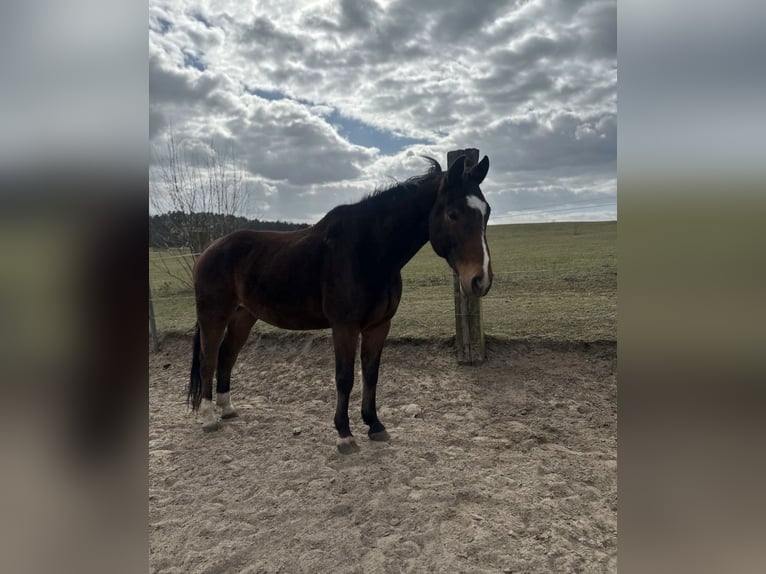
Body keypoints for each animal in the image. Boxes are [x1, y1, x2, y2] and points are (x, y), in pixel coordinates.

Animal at [188, 154, 492, 453]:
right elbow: (344, 378)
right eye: (452, 214)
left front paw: (374, 425)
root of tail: (209, 250)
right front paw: (344, 434)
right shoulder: (344, 327)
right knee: (209, 358)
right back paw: (209, 417)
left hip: (243, 316)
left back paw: (227, 408)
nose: (480, 280)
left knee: (227, 355)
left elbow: (371, 374)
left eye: (486, 212)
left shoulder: (378, 326)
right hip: (214, 315)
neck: (369, 252)